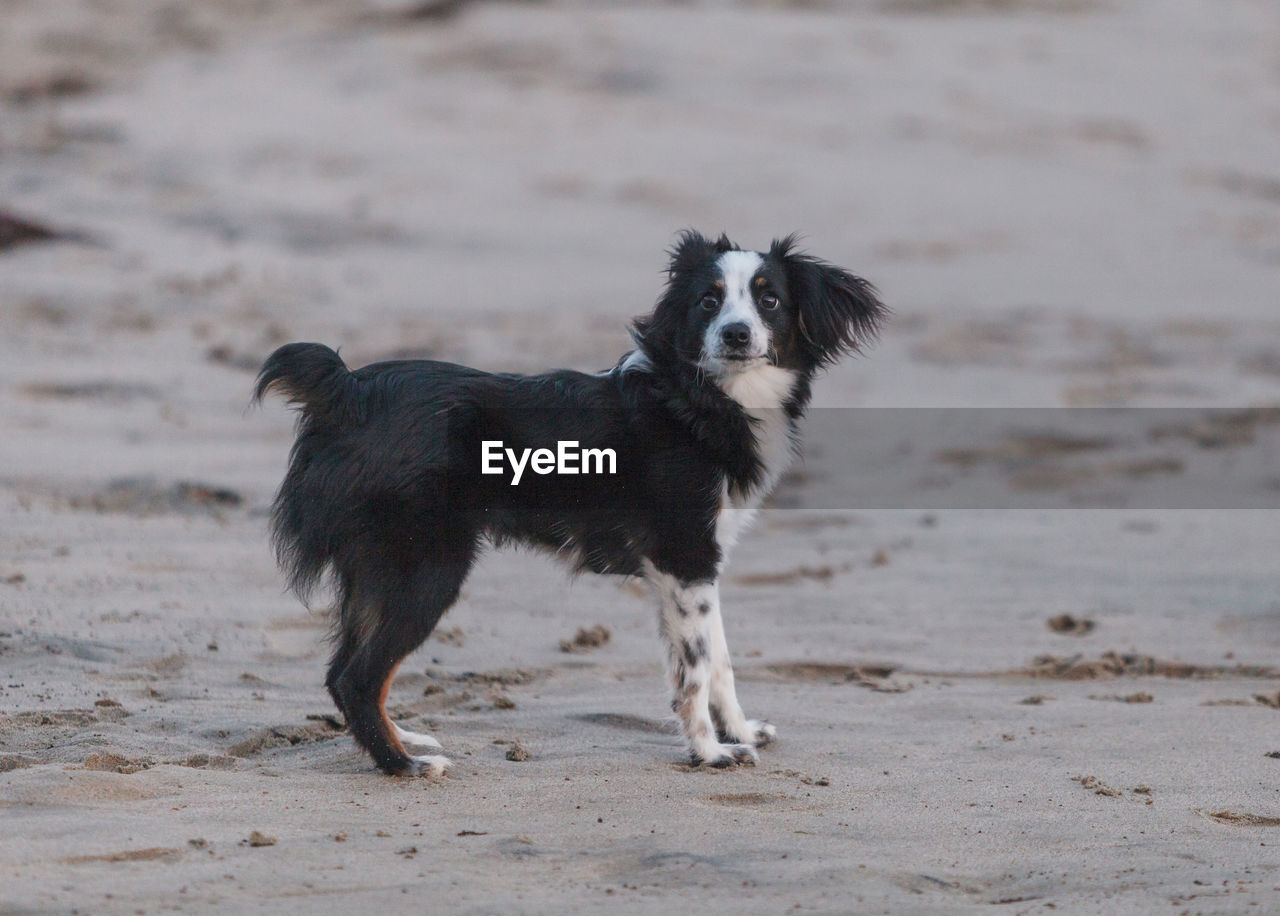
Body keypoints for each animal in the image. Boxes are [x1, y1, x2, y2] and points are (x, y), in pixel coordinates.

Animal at [254, 232, 885, 777]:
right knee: (360, 677)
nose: (734, 334)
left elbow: (717, 661)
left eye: (769, 300)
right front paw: (710, 754)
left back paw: (404, 739)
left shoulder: (691, 567)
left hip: (378, 568)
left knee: (343, 673)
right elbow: (697, 670)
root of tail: (348, 391)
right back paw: (403, 765)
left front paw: (740, 732)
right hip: (426, 567)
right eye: (708, 301)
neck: (696, 397)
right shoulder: (685, 556)